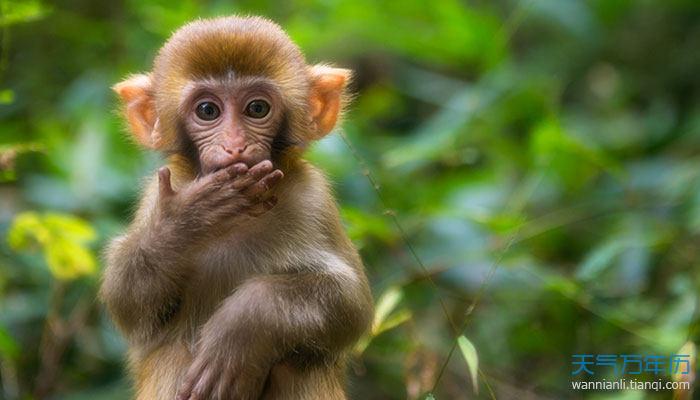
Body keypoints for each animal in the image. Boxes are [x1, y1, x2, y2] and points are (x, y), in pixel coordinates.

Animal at [101, 16, 374, 400]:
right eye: (207, 111)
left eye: (257, 108)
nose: (234, 145)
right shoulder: (156, 196)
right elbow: (128, 301)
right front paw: (188, 219)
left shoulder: (313, 199)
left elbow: (351, 302)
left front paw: (240, 329)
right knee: (172, 352)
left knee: (298, 365)